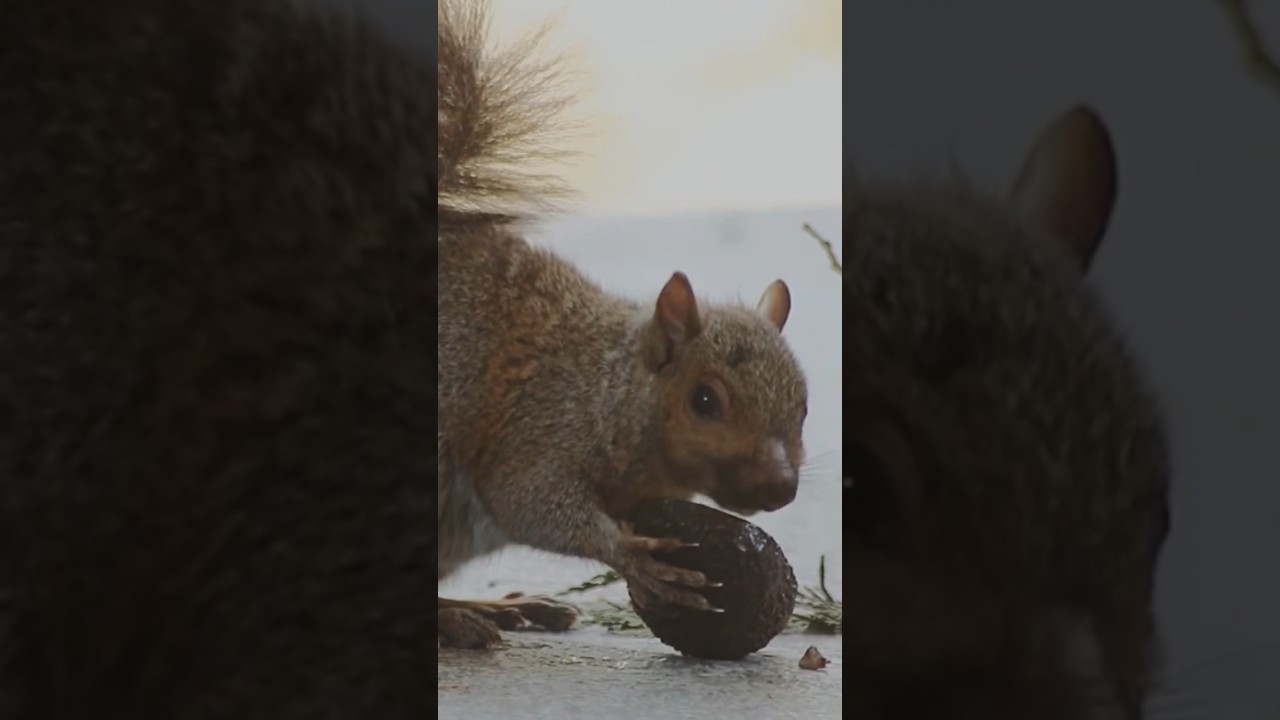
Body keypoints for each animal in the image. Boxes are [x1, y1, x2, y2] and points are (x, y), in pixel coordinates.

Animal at [436, 0, 810, 649]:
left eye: (806, 405)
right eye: (704, 401)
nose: (781, 488)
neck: (608, 387)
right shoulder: (541, 429)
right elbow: (529, 503)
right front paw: (634, 558)